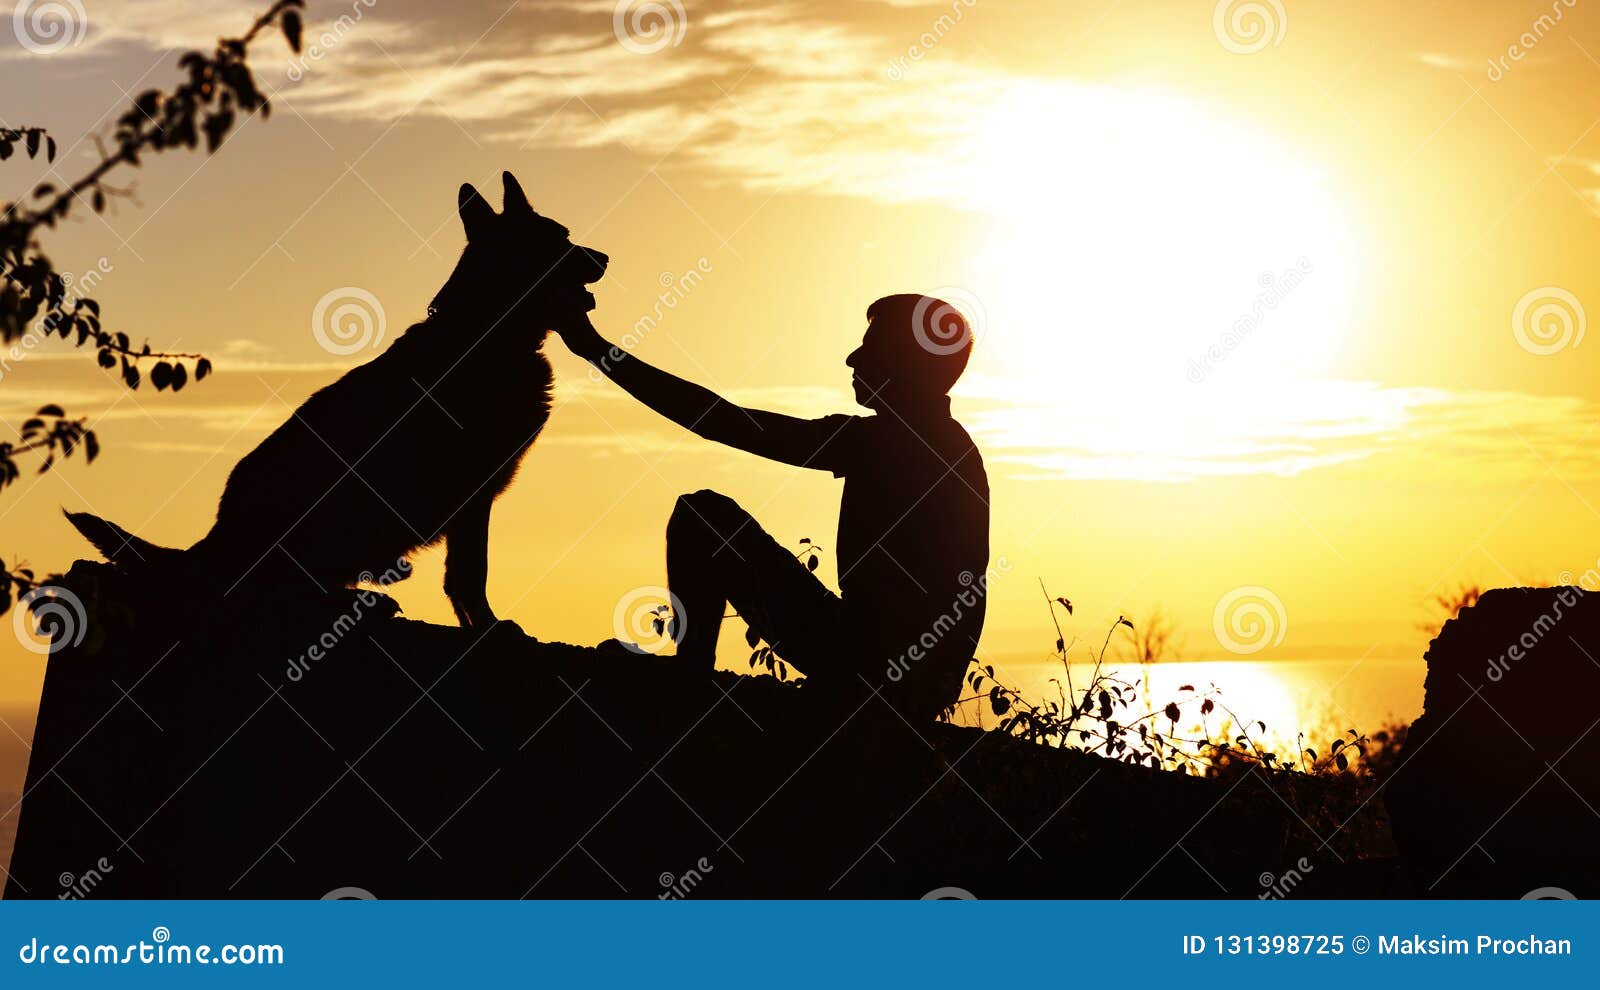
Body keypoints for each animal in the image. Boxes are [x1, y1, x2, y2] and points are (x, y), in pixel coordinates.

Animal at [67, 172, 604, 626]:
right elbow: (472, 573)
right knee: (280, 591)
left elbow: (462, 575)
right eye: (560, 240)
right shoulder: (473, 493)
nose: (605, 258)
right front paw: (490, 629)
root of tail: (219, 539)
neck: (484, 332)